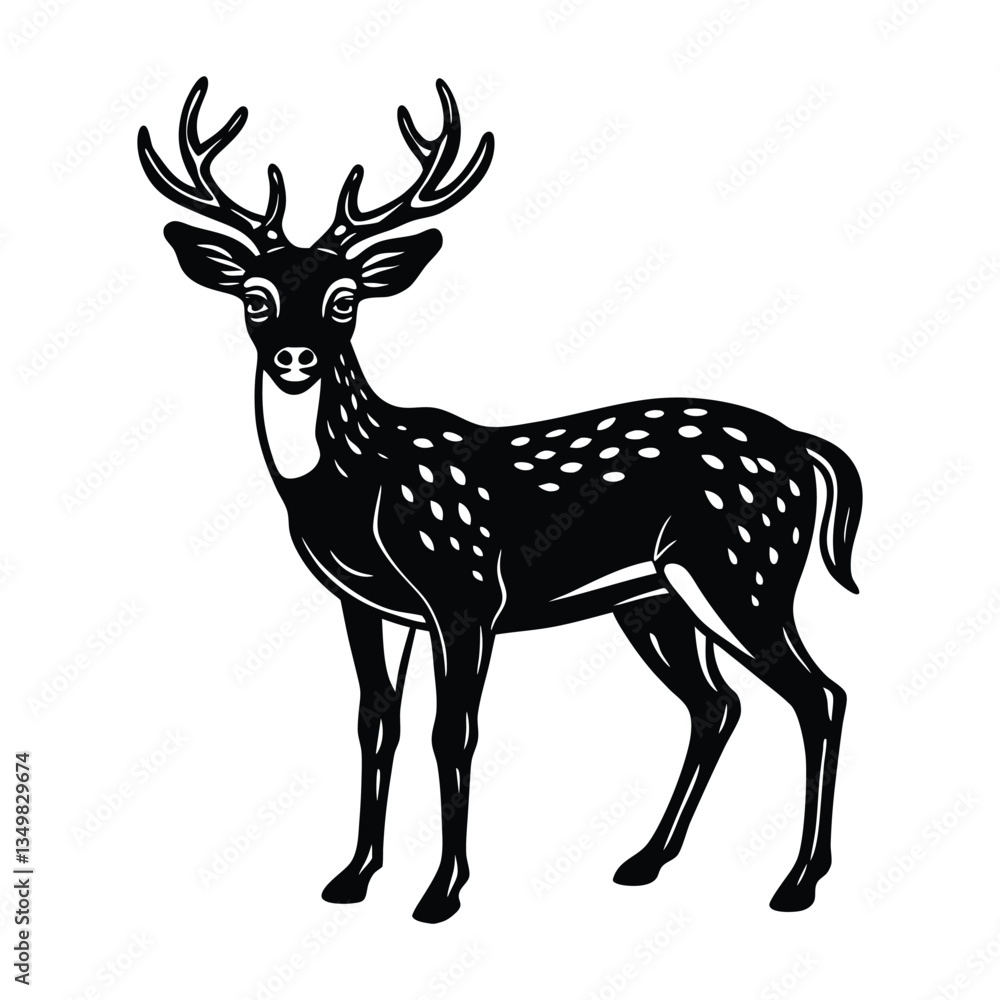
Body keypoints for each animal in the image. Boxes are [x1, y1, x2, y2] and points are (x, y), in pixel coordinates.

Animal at [138, 77, 862, 923]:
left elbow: (453, 731)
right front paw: (352, 877)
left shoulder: (465, 590)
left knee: (819, 695)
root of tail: (805, 445)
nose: (294, 357)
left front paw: (441, 893)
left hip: (745, 567)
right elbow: (375, 723)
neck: (356, 487)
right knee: (717, 705)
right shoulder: (364, 603)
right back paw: (646, 861)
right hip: (653, 598)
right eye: (255, 296)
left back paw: (799, 881)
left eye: (345, 299)